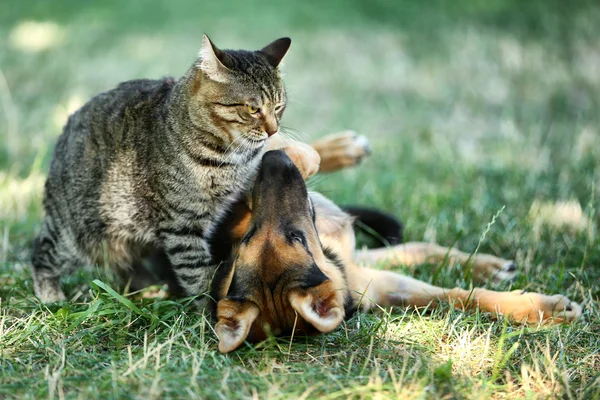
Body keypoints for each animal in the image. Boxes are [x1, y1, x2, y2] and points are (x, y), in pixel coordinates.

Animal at [31, 35, 292, 304]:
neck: (229, 158)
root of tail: (64, 131)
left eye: (278, 107)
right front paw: (209, 309)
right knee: (41, 253)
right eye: (253, 109)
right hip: (73, 234)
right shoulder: (183, 225)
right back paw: (51, 295)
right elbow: (196, 271)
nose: (273, 130)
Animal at [206, 134, 580, 354]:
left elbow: (433, 264)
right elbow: (459, 296)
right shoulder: (377, 283)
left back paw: (338, 148)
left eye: (248, 236)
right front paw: (541, 307)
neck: (332, 260)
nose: (272, 165)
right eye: (295, 238)